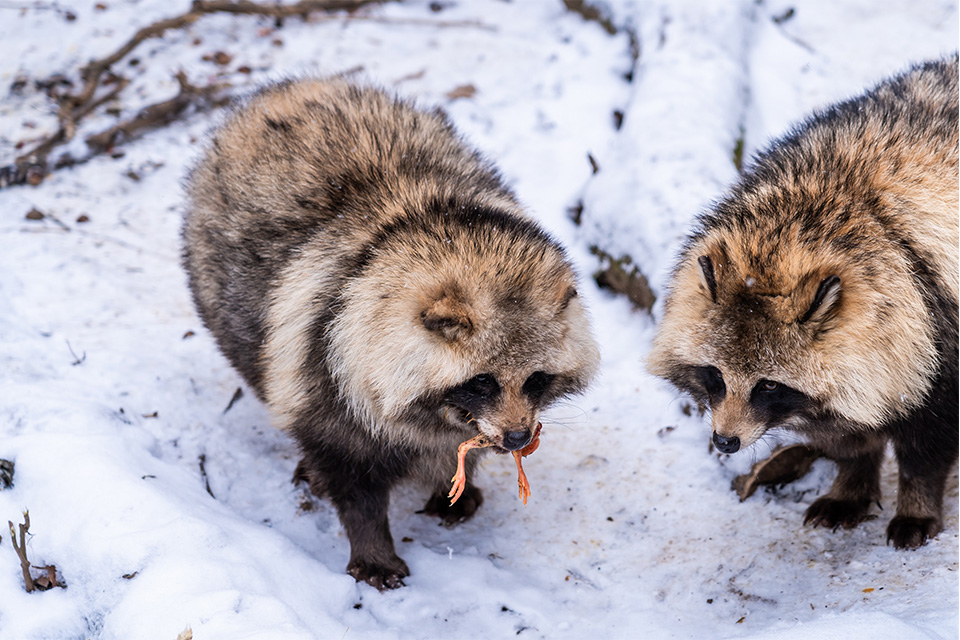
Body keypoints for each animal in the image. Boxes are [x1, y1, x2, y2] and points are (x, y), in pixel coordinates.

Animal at [181, 77, 600, 588]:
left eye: (536, 379)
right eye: (483, 381)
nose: (519, 439)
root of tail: (288, 88)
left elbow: (461, 449)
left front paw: (453, 477)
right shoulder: (326, 362)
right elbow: (350, 478)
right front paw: (373, 548)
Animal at [648, 56, 956, 552]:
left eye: (769, 385)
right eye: (715, 375)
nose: (725, 442)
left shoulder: (937, 328)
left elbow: (926, 448)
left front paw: (917, 504)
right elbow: (852, 436)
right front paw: (852, 483)